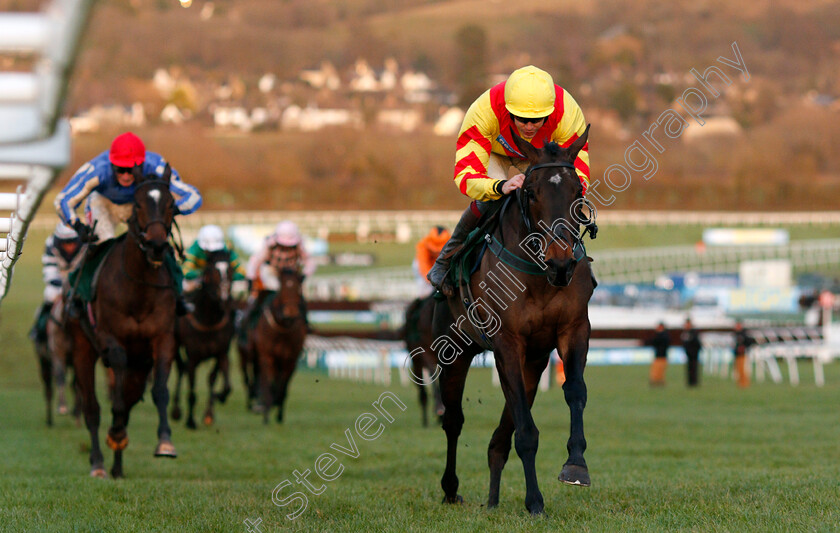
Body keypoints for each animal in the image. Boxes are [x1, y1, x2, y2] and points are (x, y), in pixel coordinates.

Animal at [68, 167, 180, 478]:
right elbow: (113, 399)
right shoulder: (110, 338)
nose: (156, 245)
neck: (138, 287)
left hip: (139, 364)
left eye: (171, 204)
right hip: (82, 348)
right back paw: (98, 463)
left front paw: (165, 442)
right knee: (92, 408)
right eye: (138, 205)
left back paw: (117, 465)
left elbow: (159, 391)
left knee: (130, 398)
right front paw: (114, 433)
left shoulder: (163, 338)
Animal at [171, 248, 235, 428]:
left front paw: (215, 405)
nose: (224, 298)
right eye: (212, 270)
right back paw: (176, 411)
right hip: (174, 344)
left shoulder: (221, 353)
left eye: (230, 270)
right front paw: (191, 421)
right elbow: (192, 389)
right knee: (181, 368)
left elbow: (225, 385)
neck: (209, 319)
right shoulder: (194, 356)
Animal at [251, 268, 310, 422]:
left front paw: (277, 409)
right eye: (282, 288)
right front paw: (265, 412)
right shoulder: (267, 357)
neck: (282, 329)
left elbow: (282, 388)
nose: (291, 312)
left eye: (298, 289)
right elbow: (268, 385)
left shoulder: (290, 361)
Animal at [434, 125, 596, 516]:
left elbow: (575, 391)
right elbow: (525, 431)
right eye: (531, 192)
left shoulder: (572, 331)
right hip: (455, 351)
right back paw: (450, 489)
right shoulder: (507, 341)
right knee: (453, 420)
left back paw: (493, 500)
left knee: (499, 436)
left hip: (532, 363)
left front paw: (576, 465)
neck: (540, 276)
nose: (561, 261)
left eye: (577, 192)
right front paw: (535, 501)